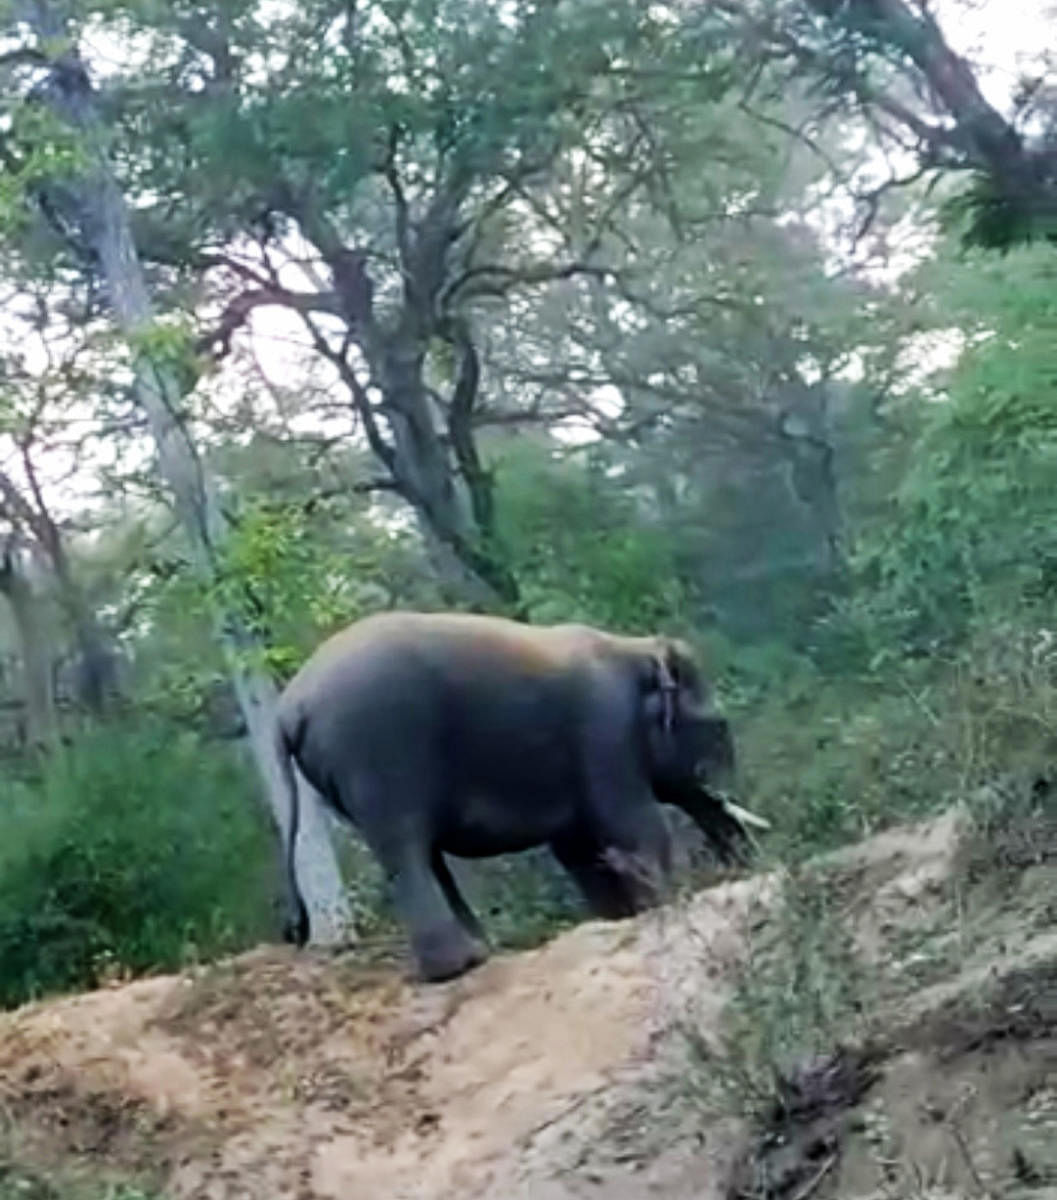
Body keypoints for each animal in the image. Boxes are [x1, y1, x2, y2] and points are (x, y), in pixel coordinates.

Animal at [274, 614, 758, 979]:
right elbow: (629, 823)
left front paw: (622, 916)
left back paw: (479, 953)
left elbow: (578, 847)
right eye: (718, 729)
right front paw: (661, 903)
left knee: (419, 853)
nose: (742, 868)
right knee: (406, 847)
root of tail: (288, 709)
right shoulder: (604, 727)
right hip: (376, 750)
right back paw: (460, 965)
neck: (633, 648)